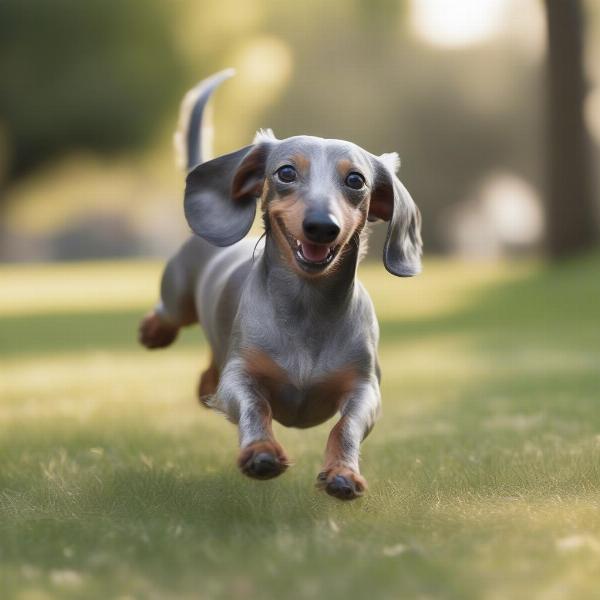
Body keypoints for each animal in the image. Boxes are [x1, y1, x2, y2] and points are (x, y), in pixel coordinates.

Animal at [140, 69, 422, 502]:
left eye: (356, 180)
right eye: (286, 172)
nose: (322, 227)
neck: (307, 307)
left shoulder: (365, 389)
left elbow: (346, 426)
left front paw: (343, 473)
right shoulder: (239, 376)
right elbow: (256, 407)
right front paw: (261, 451)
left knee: (208, 377)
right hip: (177, 300)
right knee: (168, 316)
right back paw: (153, 332)